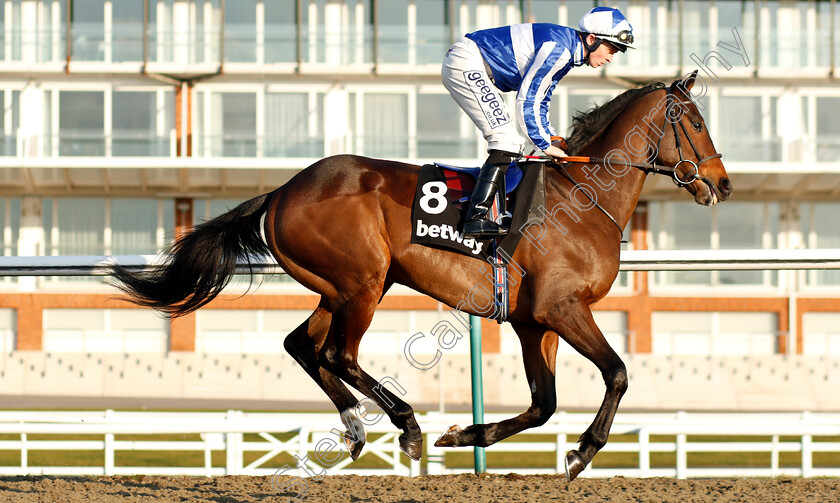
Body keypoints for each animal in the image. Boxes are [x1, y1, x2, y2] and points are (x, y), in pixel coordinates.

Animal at [110, 73, 728, 482]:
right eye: (697, 122)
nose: (721, 183)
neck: (583, 197)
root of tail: (283, 190)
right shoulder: (563, 309)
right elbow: (618, 373)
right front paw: (581, 453)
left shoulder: (535, 322)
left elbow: (544, 404)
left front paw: (468, 436)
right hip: (362, 283)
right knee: (337, 354)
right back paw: (405, 426)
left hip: (348, 285)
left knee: (302, 345)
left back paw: (357, 427)